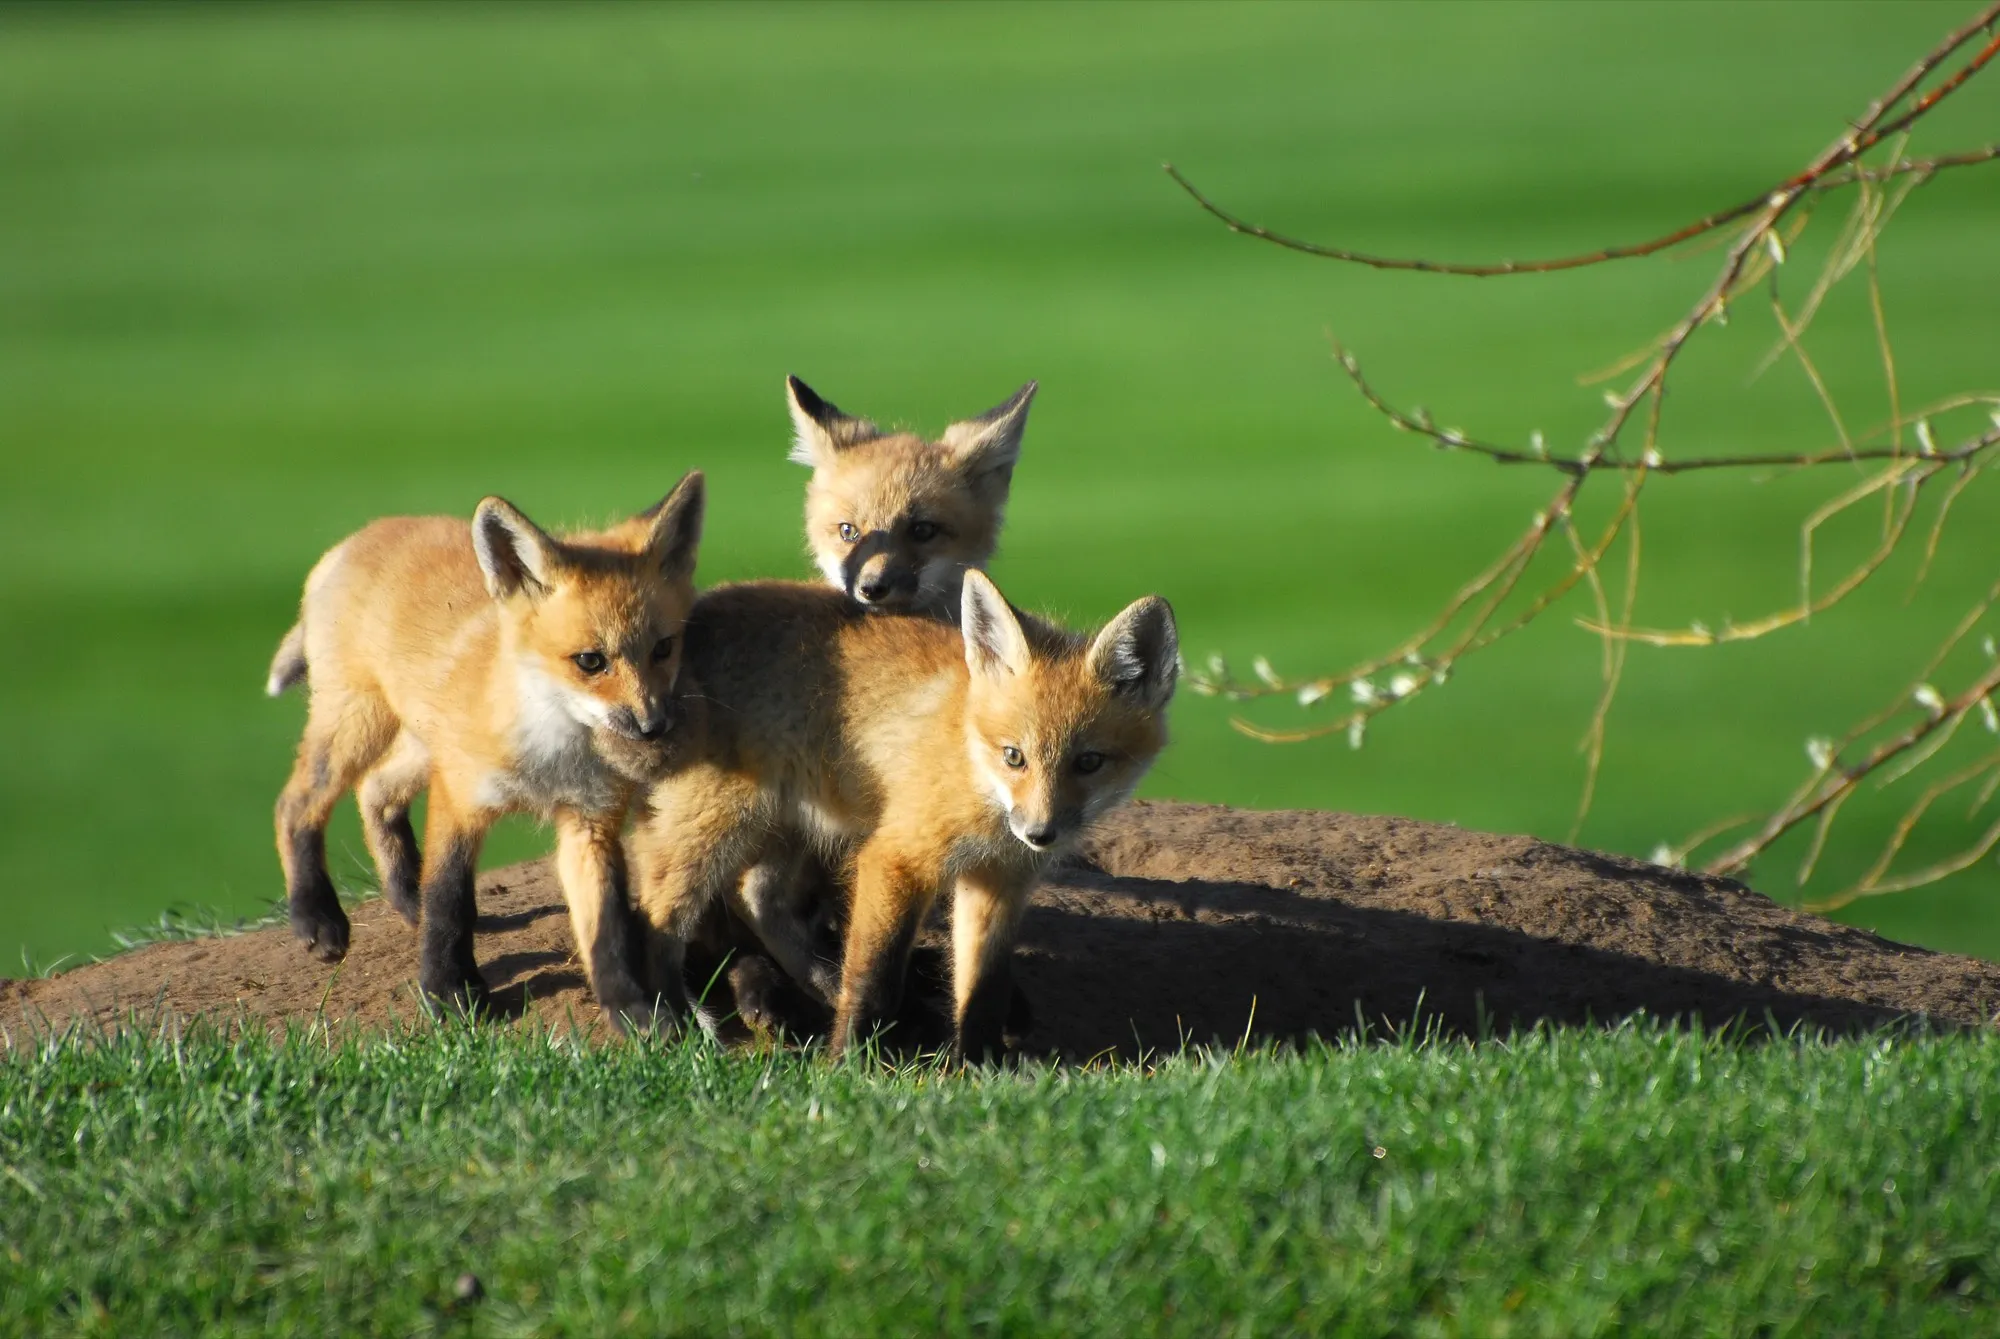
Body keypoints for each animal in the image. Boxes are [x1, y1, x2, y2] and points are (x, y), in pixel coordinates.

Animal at [266, 473, 705, 1033]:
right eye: (590, 661)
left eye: (663, 649)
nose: (653, 727)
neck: (551, 757)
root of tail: (360, 536)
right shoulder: (460, 795)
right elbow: (450, 899)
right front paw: (450, 993)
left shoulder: (589, 819)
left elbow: (606, 928)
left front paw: (634, 1011)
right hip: (358, 724)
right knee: (296, 804)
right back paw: (315, 914)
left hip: (421, 742)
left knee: (375, 792)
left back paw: (405, 899)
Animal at [630, 569, 1178, 1060]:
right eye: (1014, 756)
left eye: (1088, 762)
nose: (1040, 834)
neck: (974, 771)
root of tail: (698, 611)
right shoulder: (895, 858)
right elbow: (874, 977)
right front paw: (848, 1063)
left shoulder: (1000, 879)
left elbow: (983, 986)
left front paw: (979, 1066)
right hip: (718, 823)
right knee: (656, 916)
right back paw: (677, 1024)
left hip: (788, 825)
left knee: (759, 899)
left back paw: (824, 983)